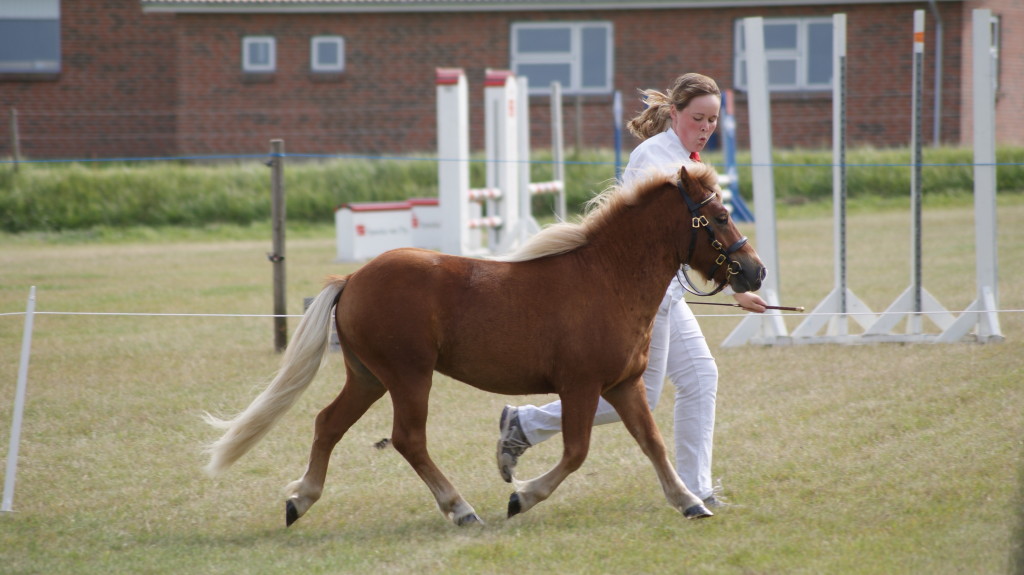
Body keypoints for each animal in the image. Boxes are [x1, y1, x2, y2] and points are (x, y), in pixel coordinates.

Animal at [203, 163, 765, 527]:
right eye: (718, 217)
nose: (754, 271)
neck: (608, 278)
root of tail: (353, 278)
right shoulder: (581, 386)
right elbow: (577, 450)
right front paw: (523, 497)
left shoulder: (624, 385)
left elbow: (652, 441)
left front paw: (690, 501)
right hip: (409, 376)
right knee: (408, 439)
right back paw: (461, 509)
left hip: (367, 377)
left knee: (327, 424)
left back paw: (300, 500)